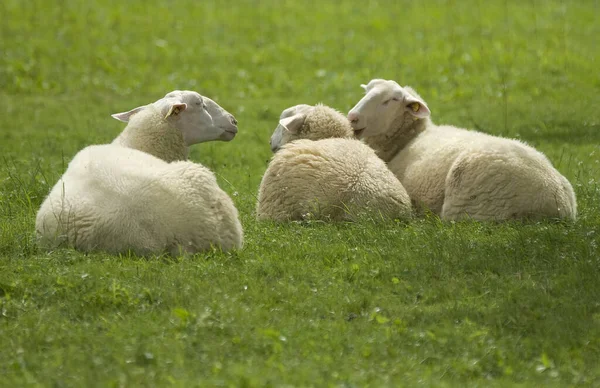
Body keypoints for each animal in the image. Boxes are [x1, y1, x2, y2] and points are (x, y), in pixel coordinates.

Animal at [346, 78, 576, 221]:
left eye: (391, 100)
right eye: (366, 91)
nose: (352, 117)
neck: (408, 139)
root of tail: (560, 203)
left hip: (471, 206)